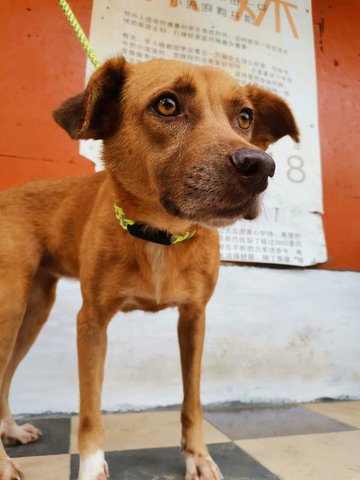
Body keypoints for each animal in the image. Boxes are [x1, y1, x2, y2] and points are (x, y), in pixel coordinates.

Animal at [0, 57, 298, 480]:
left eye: (245, 117)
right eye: (167, 105)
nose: (260, 166)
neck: (160, 235)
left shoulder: (194, 318)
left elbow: (193, 400)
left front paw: (198, 456)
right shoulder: (90, 321)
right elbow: (90, 409)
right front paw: (91, 466)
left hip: (34, 311)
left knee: (5, 376)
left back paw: (10, 430)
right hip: (10, 307)